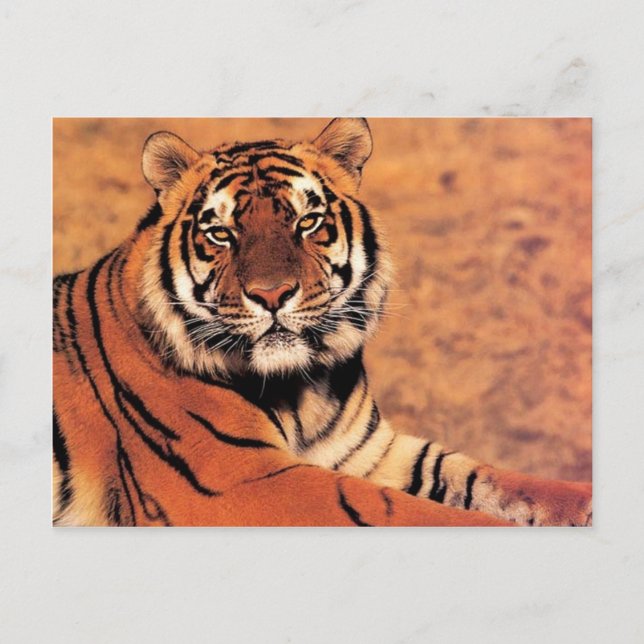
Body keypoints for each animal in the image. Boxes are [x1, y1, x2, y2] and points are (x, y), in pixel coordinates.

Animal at [53, 118, 592, 527]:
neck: (303, 391)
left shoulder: (372, 452)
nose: (271, 295)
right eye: (221, 233)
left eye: (306, 222)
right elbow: (409, 513)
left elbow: (501, 482)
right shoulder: (244, 479)